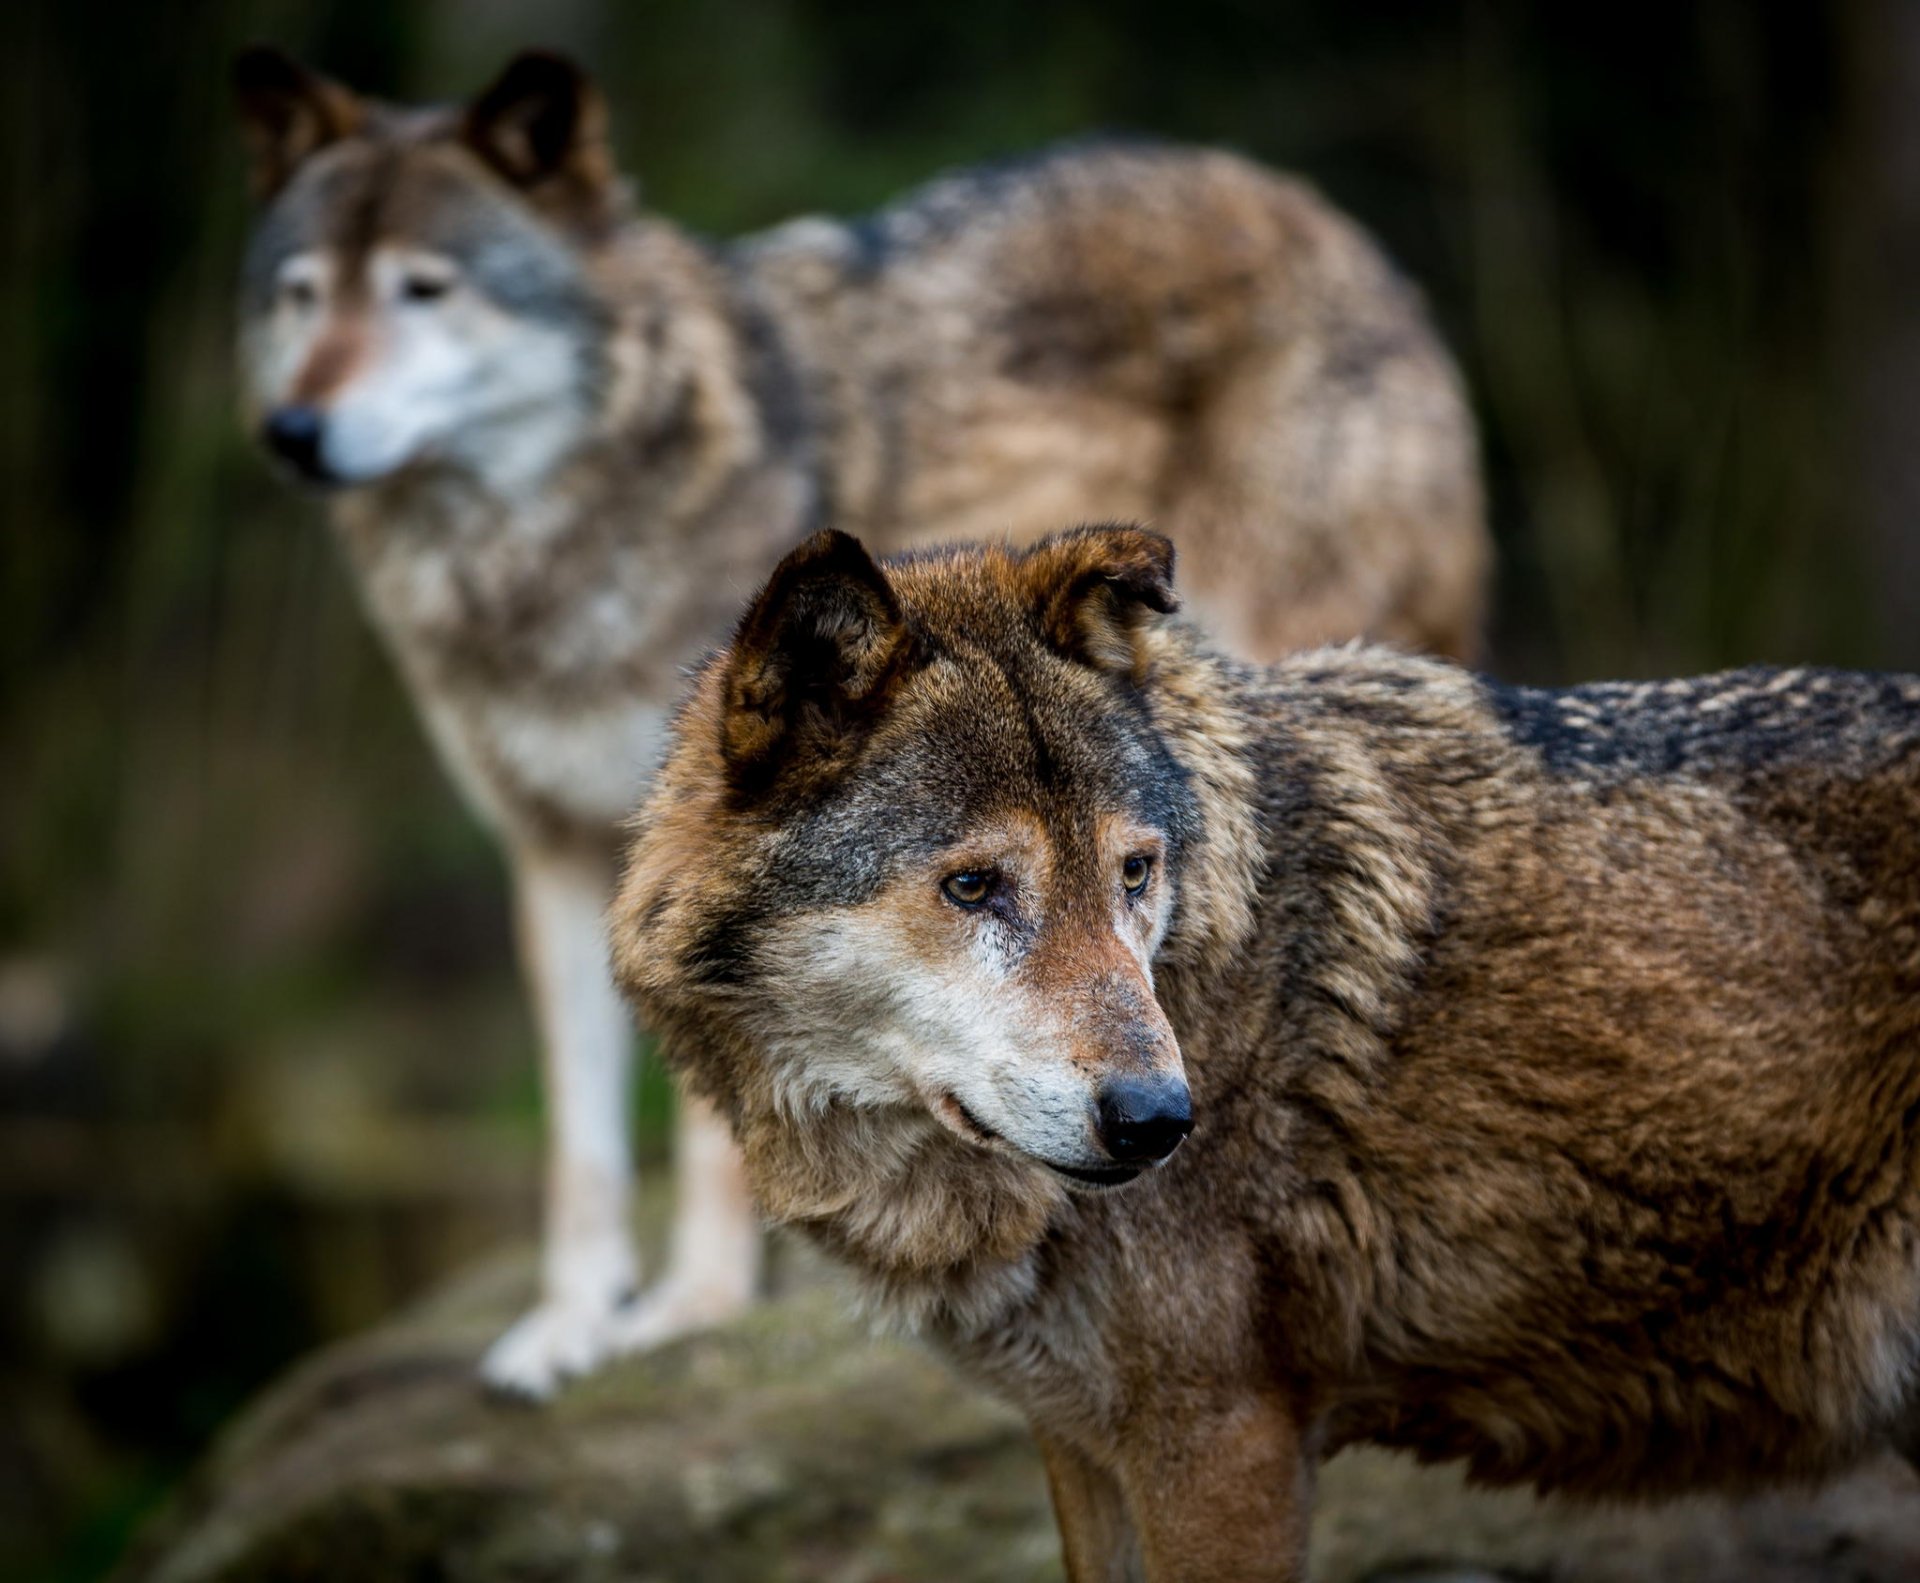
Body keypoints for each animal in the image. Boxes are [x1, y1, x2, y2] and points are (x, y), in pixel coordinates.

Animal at [231, 44, 1487, 1397]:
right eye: (303, 296)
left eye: (424, 290)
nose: (291, 431)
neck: (545, 552)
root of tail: (1323, 217)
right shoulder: (554, 852)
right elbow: (581, 1137)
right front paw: (572, 1322)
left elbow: (717, 1125)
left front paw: (695, 1309)